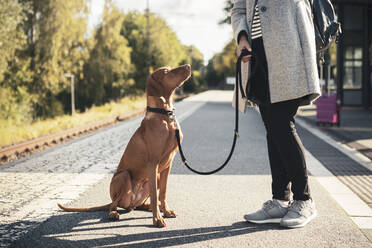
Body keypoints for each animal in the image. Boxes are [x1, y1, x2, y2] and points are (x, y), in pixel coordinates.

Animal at [58, 63, 192, 227]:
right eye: (166, 71)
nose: (188, 65)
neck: (165, 116)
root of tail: (131, 202)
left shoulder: (167, 165)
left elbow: (163, 193)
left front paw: (165, 212)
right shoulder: (153, 163)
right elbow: (155, 195)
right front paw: (157, 219)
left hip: (154, 178)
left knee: (139, 204)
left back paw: (150, 207)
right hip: (123, 176)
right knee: (114, 203)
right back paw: (114, 213)